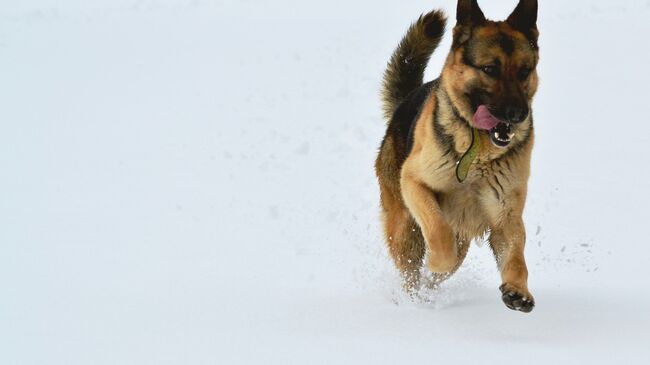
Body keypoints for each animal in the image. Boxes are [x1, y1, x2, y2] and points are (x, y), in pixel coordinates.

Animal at [374, 0, 536, 312]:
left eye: (524, 71)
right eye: (489, 69)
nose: (518, 114)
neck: (478, 156)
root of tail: (404, 102)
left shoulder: (505, 217)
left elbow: (517, 259)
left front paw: (518, 291)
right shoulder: (414, 182)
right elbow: (439, 232)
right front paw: (438, 260)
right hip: (405, 228)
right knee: (412, 269)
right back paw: (413, 301)